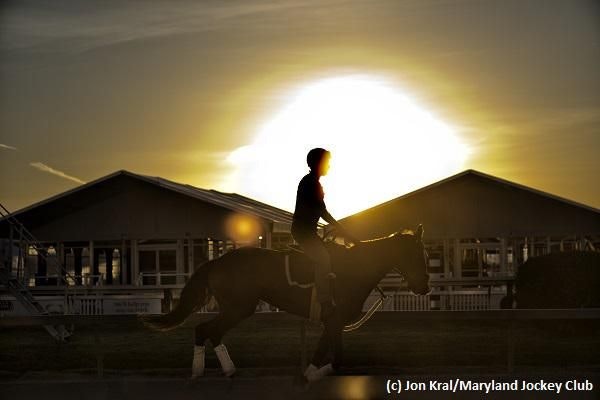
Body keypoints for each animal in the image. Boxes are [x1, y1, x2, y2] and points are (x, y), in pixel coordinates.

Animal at [141, 225, 430, 380]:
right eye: (418, 254)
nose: (424, 287)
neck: (355, 268)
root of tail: (218, 261)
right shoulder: (334, 321)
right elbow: (333, 359)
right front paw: (312, 375)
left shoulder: (333, 324)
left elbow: (329, 355)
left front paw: (313, 373)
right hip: (238, 308)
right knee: (206, 330)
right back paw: (210, 370)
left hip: (237, 308)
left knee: (208, 332)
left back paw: (220, 370)